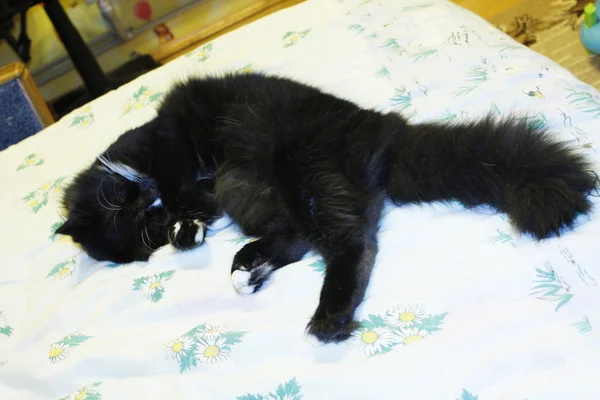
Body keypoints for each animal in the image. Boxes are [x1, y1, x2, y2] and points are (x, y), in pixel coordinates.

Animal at [56, 71, 596, 340]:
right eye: (138, 223)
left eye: (126, 209)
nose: (150, 206)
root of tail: (383, 130)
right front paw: (187, 230)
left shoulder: (168, 143)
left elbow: (179, 178)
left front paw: (186, 217)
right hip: (283, 194)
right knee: (309, 241)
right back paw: (247, 271)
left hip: (303, 171)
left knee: (353, 243)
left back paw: (328, 318)